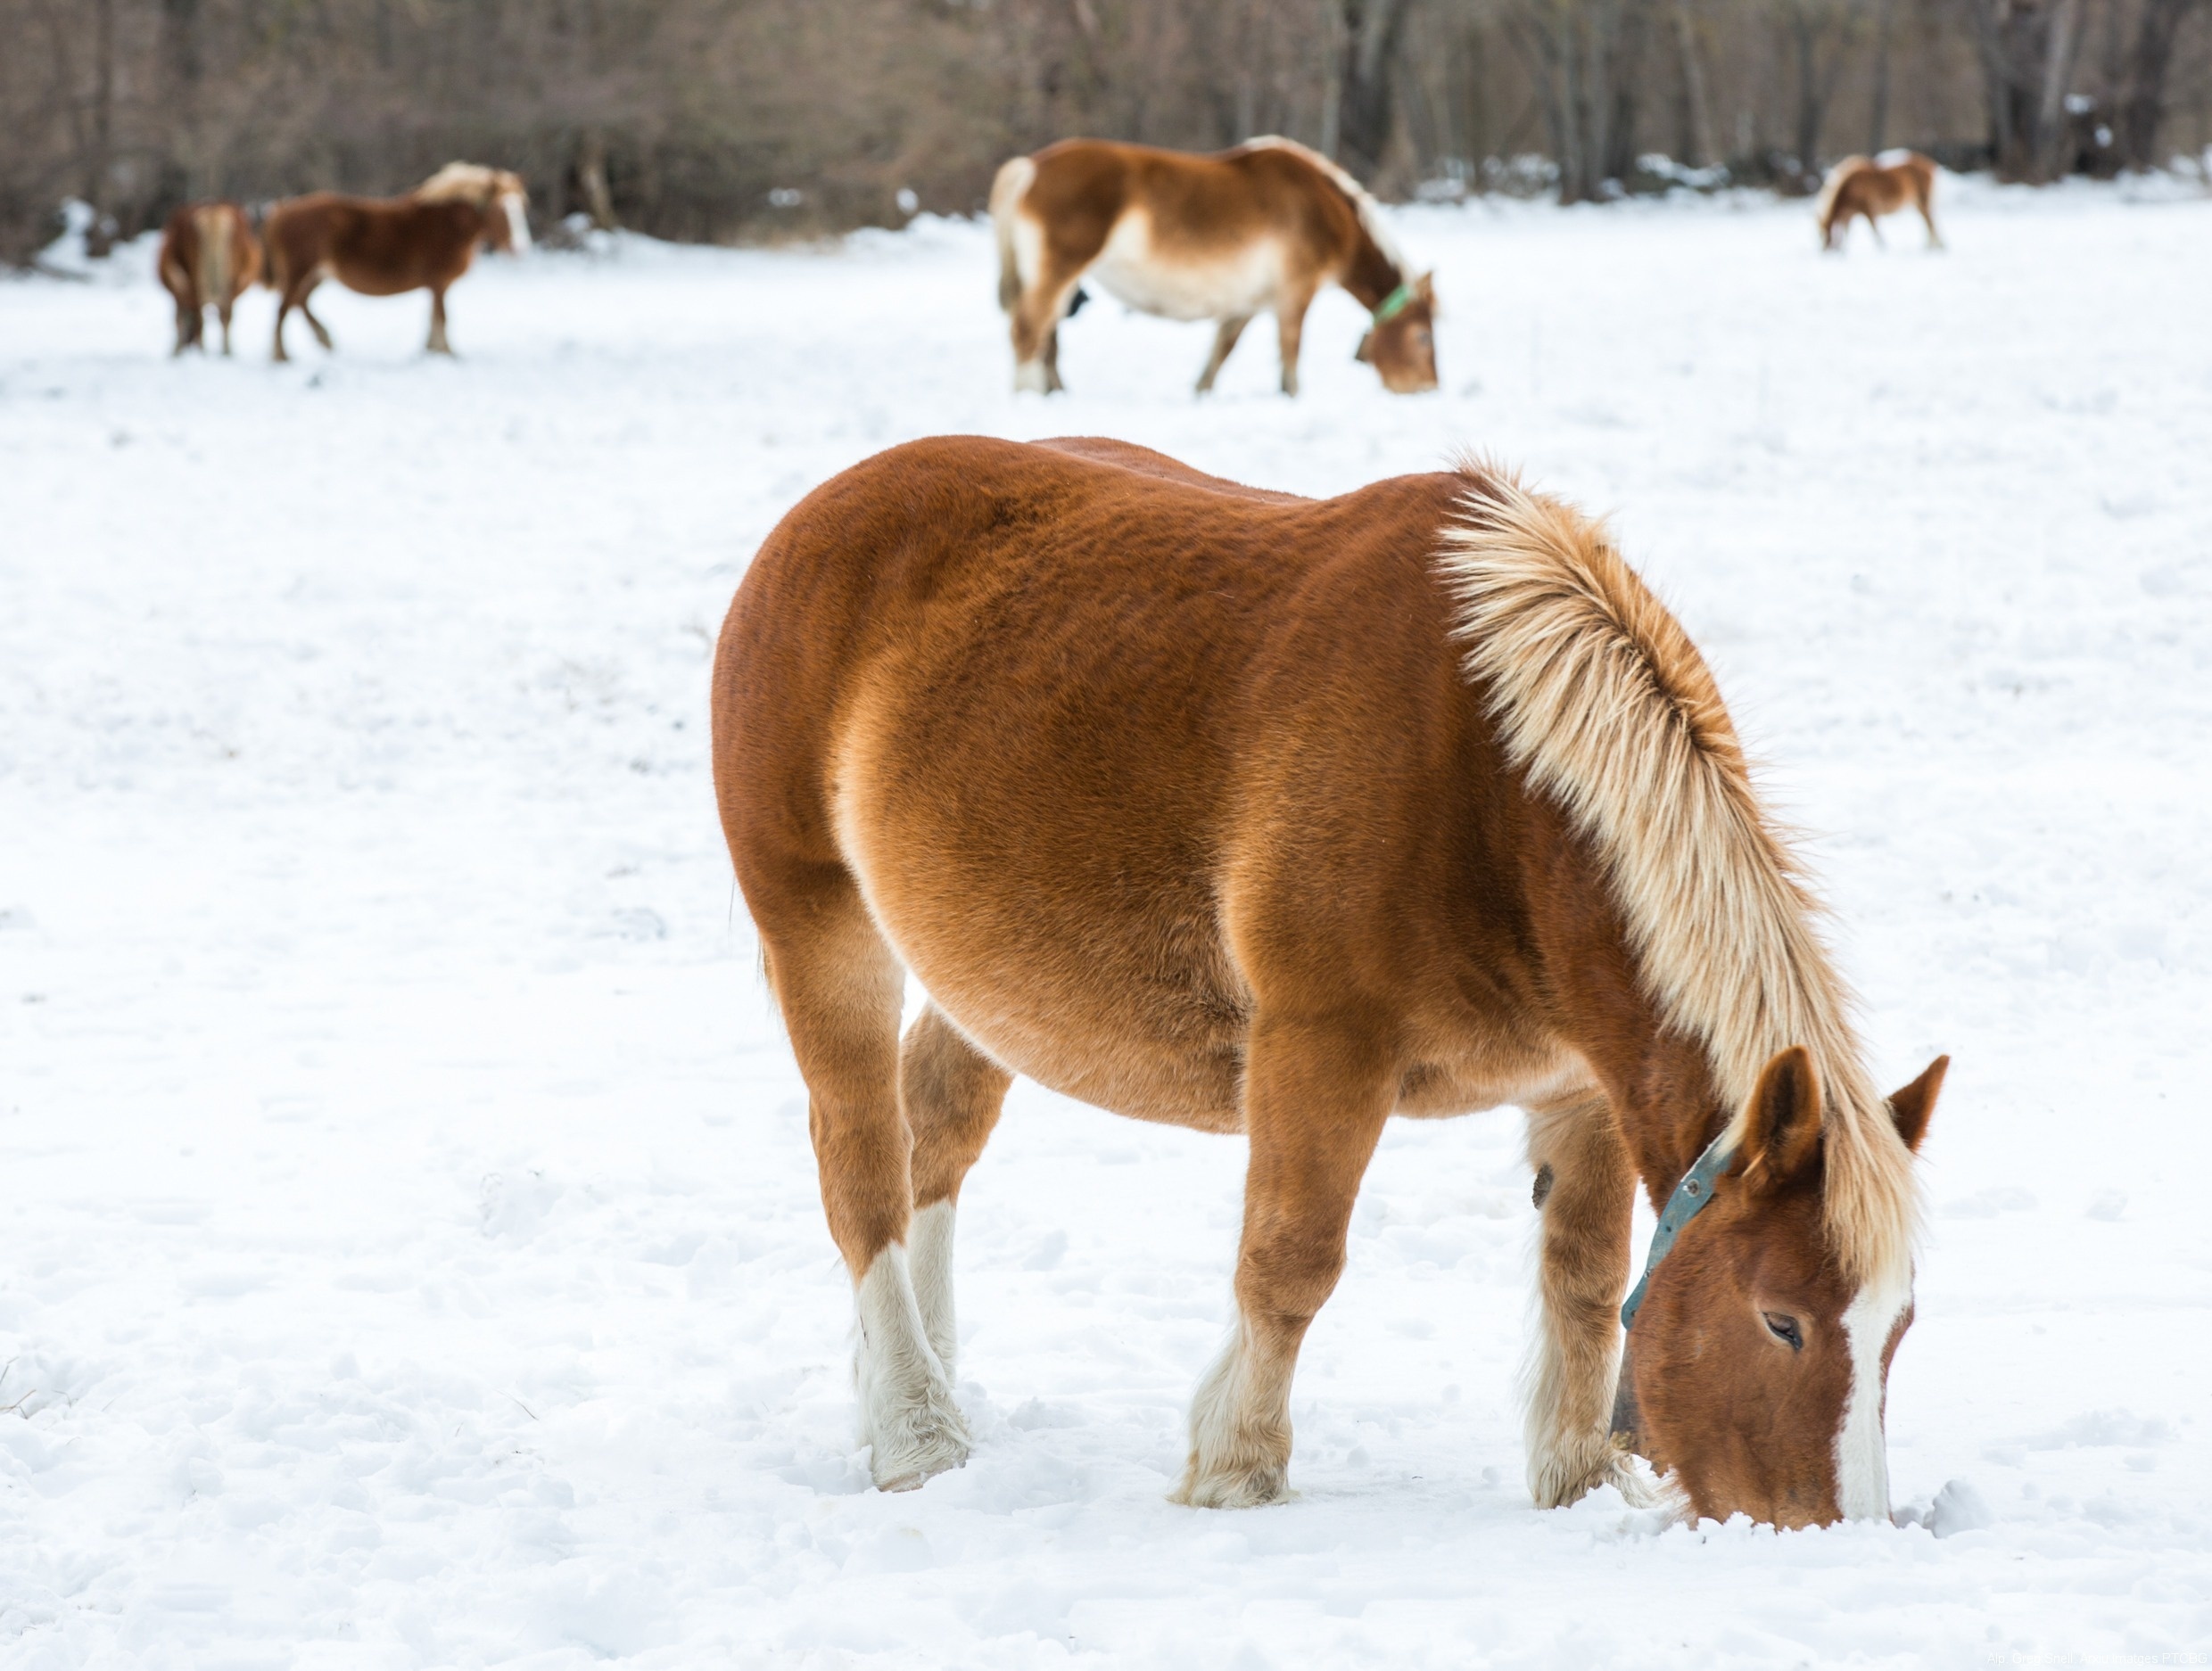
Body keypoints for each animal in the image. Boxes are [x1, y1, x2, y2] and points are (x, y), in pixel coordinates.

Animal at [154, 204, 261, 358]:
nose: (188, 342)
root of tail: (213, 212)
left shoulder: (179, 294)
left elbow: (179, 319)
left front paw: (176, 352)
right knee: (222, 315)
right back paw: (225, 352)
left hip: (198, 281)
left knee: (203, 318)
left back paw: (204, 352)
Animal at [260, 161, 528, 360]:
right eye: (500, 210)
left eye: (521, 208)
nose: (520, 248)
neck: (449, 224)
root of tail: (280, 211)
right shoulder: (439, 282)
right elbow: (442, 317)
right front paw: (446, 352)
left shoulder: (435, 286)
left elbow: (432, 317)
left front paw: (430, 349)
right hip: (299, 270)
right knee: (284, 308)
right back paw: (282, 356)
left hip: (316, 274)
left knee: (299, 302)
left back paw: (323, 339)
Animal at [712, 437, 1955, 1529]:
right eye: (1781, 1320)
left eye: (1898, 1326)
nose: (1834, 1527)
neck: (1491, 777)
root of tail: (819, 514)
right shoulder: (1321, 1046)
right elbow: (1291, 1257)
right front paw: (1234, 1465)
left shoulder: (1577, 1088)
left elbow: (1585, 1278)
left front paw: (1573, 1476)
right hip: (820, 926)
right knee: (863, 1167)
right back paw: (915, 1428)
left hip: (981, 984)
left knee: (936, 1128)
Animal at [986, 137, 1433, 398]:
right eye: (1424, 336)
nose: (1429, 386)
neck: (1322, 208)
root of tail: (1030, 166)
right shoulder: (1296, 293)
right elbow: (1290, 351)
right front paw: (1292, 396)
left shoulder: (1246, 304)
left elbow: (1222, 350)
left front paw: (1201, 391)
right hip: (1059, 272)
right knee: (1029, 329)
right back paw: (1028, 394)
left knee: (1046, 334)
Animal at [1822, 151, 1946, 250]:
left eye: (1823, 233)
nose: (1824, 250)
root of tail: (1931, 165)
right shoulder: (1850, 213)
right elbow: (1847, 232)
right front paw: (1843, 249)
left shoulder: (1869, 209)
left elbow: (1874, 230)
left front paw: (1883, 247)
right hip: (1918, 203)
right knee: (1930, 224)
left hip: (1923, 202)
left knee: (1931, 224)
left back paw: (1932, 246)